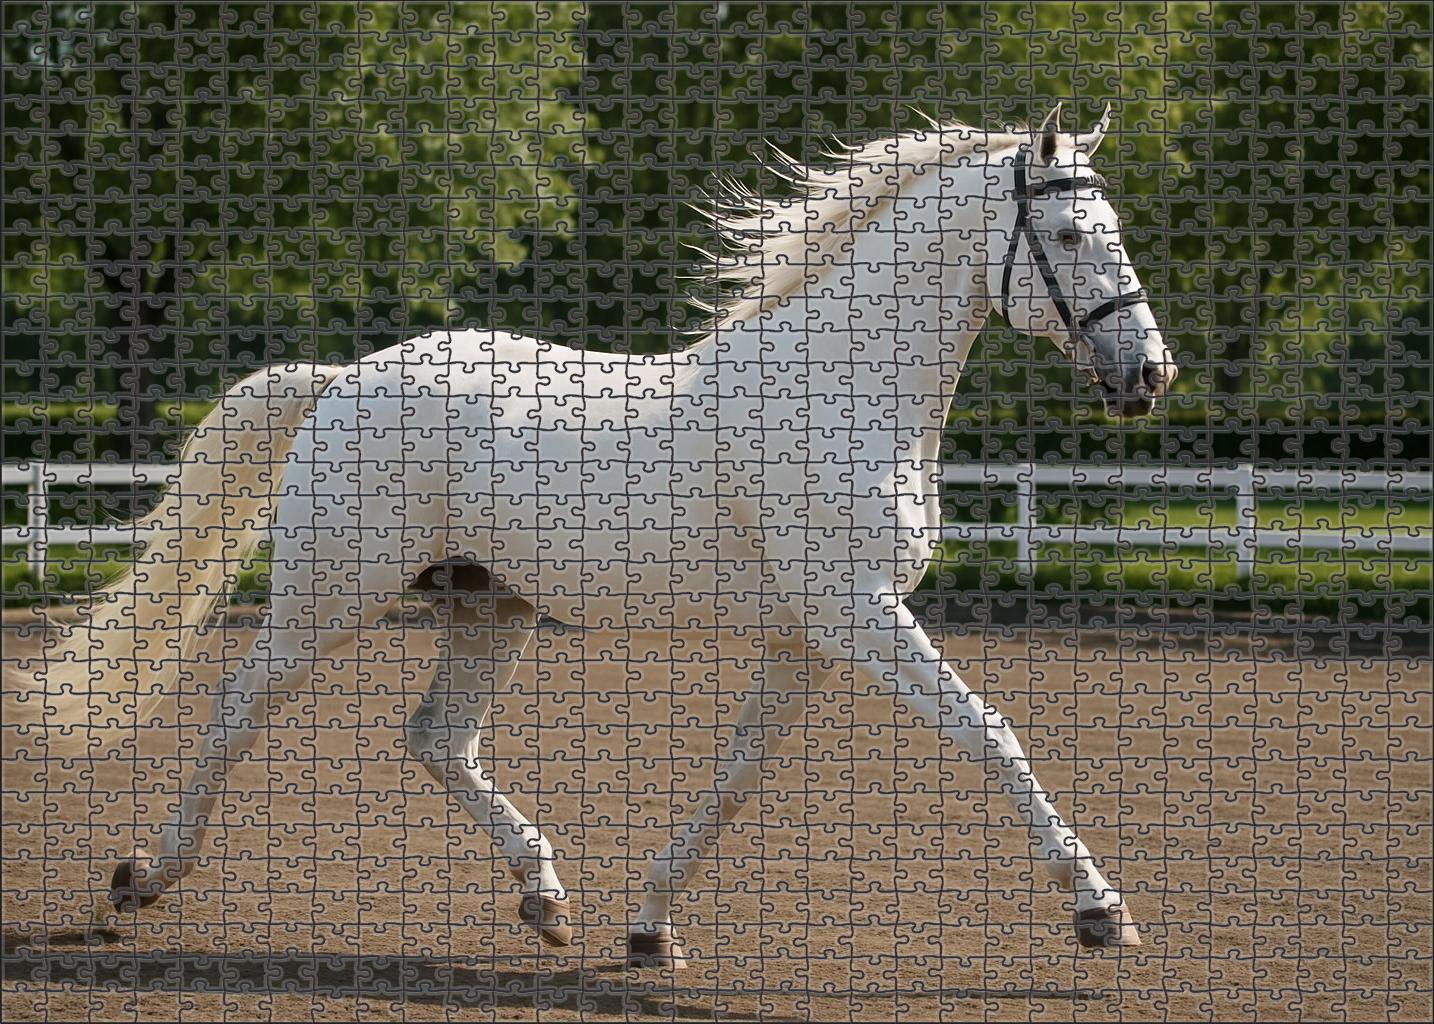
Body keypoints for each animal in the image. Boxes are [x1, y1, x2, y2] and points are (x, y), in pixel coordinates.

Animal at [29, 104, 1174, 966]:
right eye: (1070, 235)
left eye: (1116, 227)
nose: (1148, 375)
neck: (844, 388)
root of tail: (344, 379)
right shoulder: (858, 616)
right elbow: (991, 734)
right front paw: (1100, 912)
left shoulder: (810, 636)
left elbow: (739, 776)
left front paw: (651, 927)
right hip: (331, 593)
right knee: (236, 712)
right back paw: (140, 880)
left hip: (490, 604)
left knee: (436, 738)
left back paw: (544, 897)